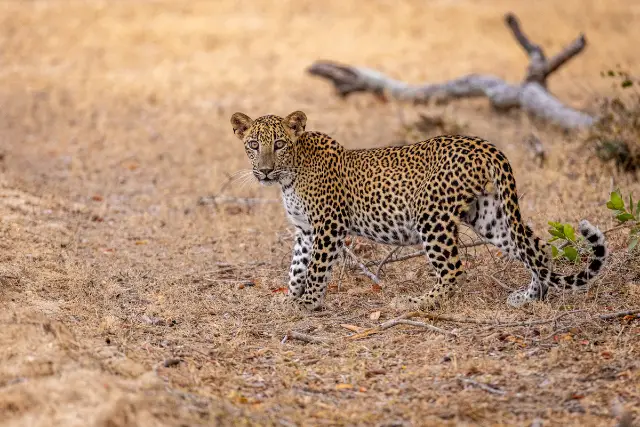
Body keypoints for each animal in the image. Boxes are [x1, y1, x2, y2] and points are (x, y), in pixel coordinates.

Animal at [230, 110, 608, 311]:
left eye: (280, 144)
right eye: (253, 145)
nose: (264, 171)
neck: (290, 176)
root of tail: (485, 145)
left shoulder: (329, 226)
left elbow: (316, 268)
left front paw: (308, 303)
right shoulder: (306, 230)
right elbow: (296, 268)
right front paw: (291, 299)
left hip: (432, 216)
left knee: (454, 269)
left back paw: (416, 303)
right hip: (489, 214)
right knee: (537, 248)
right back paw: (530, 297)